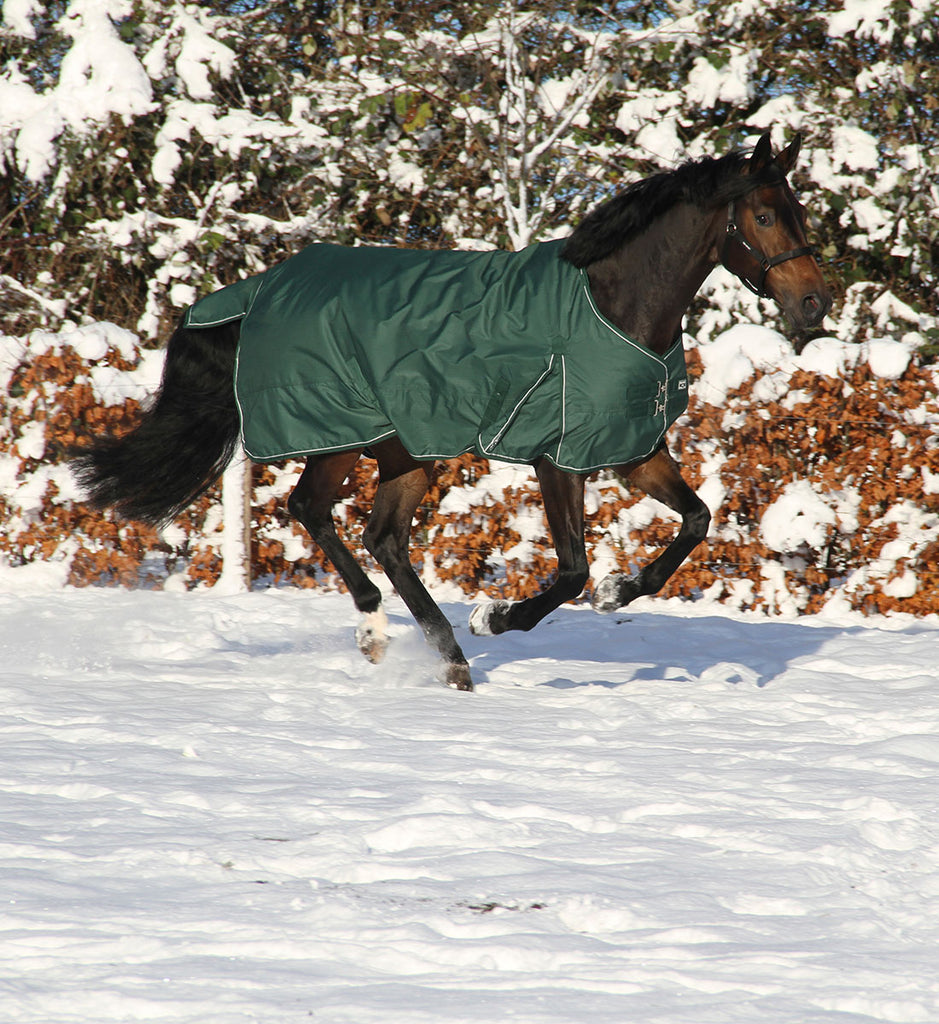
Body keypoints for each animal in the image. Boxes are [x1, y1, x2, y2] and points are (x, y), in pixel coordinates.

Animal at [76, 128, 831, 688]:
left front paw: (620, 591)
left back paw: (443, 659)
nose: (813, 304)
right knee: (311, 510)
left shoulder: (631, 449)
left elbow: (696, 521)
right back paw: (389, 633)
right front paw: (496, 617)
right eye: (764, 215)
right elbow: (571, 569)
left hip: (405, 449)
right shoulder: (557, 457)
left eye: (799, 212)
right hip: (342, 435)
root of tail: (260, 289)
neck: (613, 304)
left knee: (382, 536)